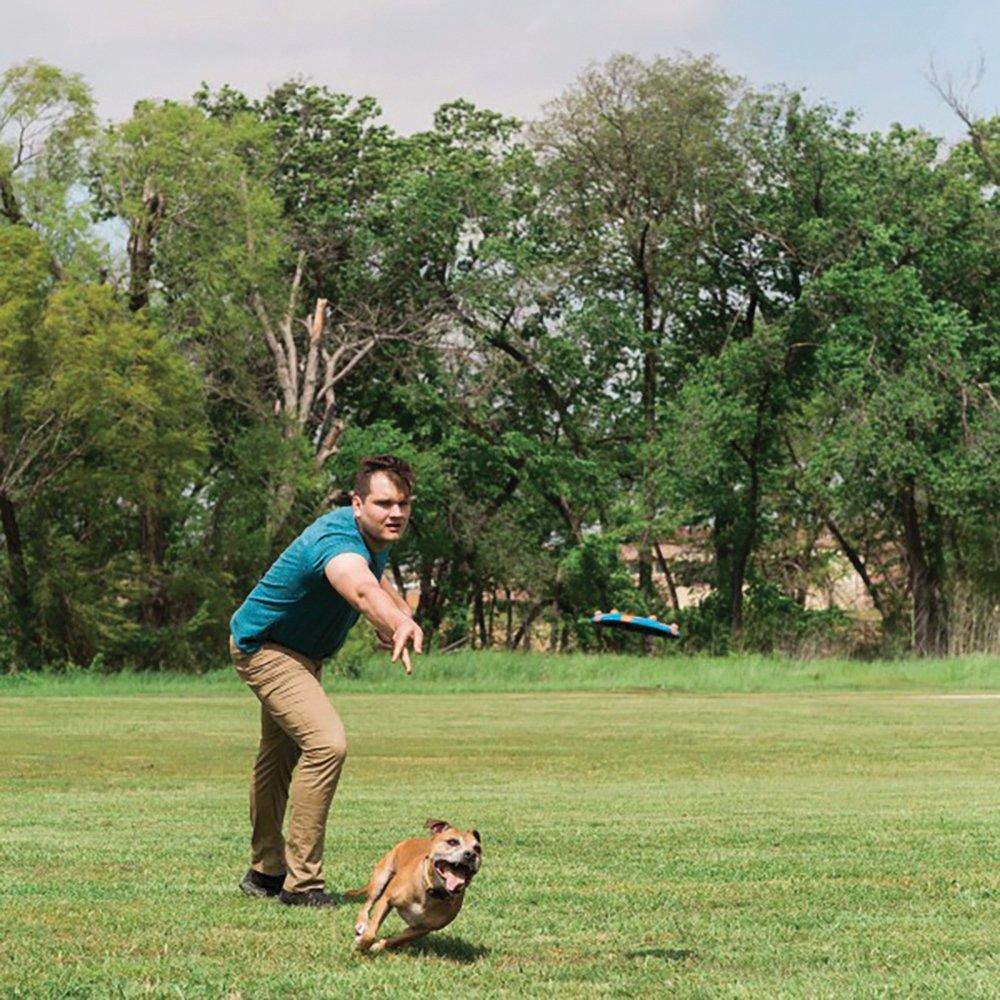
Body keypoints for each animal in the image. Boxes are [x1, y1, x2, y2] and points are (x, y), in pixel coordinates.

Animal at [348, 820, 480, 952]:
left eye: (478, 848)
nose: (471, 854)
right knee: (367, 905)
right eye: (452, 842)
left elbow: (397, 939)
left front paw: (380, 945)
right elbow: (371, 933)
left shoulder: (423, 929)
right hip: (380, 881)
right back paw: (362, 924)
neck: (430, 890)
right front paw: (362, 944)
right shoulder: (386, 899)